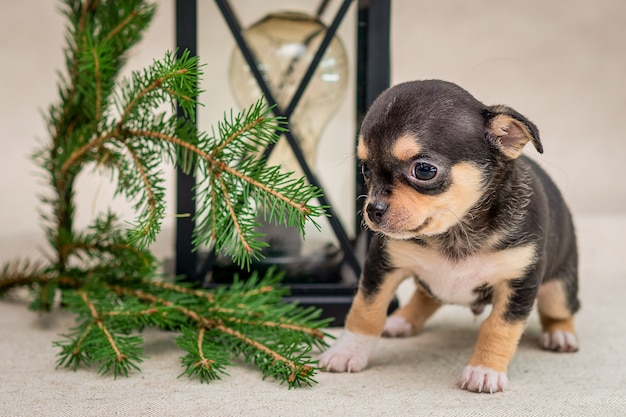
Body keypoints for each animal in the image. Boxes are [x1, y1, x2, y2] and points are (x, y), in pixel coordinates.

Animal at [320, 80, 576, 394]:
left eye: (424, 170)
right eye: (365, 169)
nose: (373, 209)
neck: (455, 231)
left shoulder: (519, 283)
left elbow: (499, 328)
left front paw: (484, 370)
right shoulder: (381, 266)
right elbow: (365, 311)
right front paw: (348, 351)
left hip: (558, 289)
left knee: (561, 310)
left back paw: (561, 335)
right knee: (426, 295)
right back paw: (400, 321)